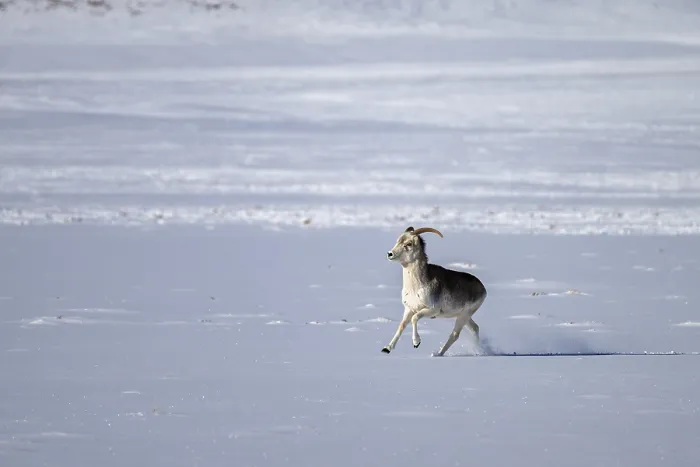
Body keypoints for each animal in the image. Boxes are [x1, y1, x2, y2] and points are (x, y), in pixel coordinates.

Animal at [381, 226, 487, 357]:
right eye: (398, 241)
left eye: (408, 244)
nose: (390, 254)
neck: (415, 287)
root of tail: (483, 289)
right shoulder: (409, 309)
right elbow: (402, 326)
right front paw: (387, 348)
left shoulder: (431, 310)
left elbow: (415, 318)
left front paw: (416, 343)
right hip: (463, 316)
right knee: (475, 328)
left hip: (463, 316)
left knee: (455, 335)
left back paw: (439, 353)